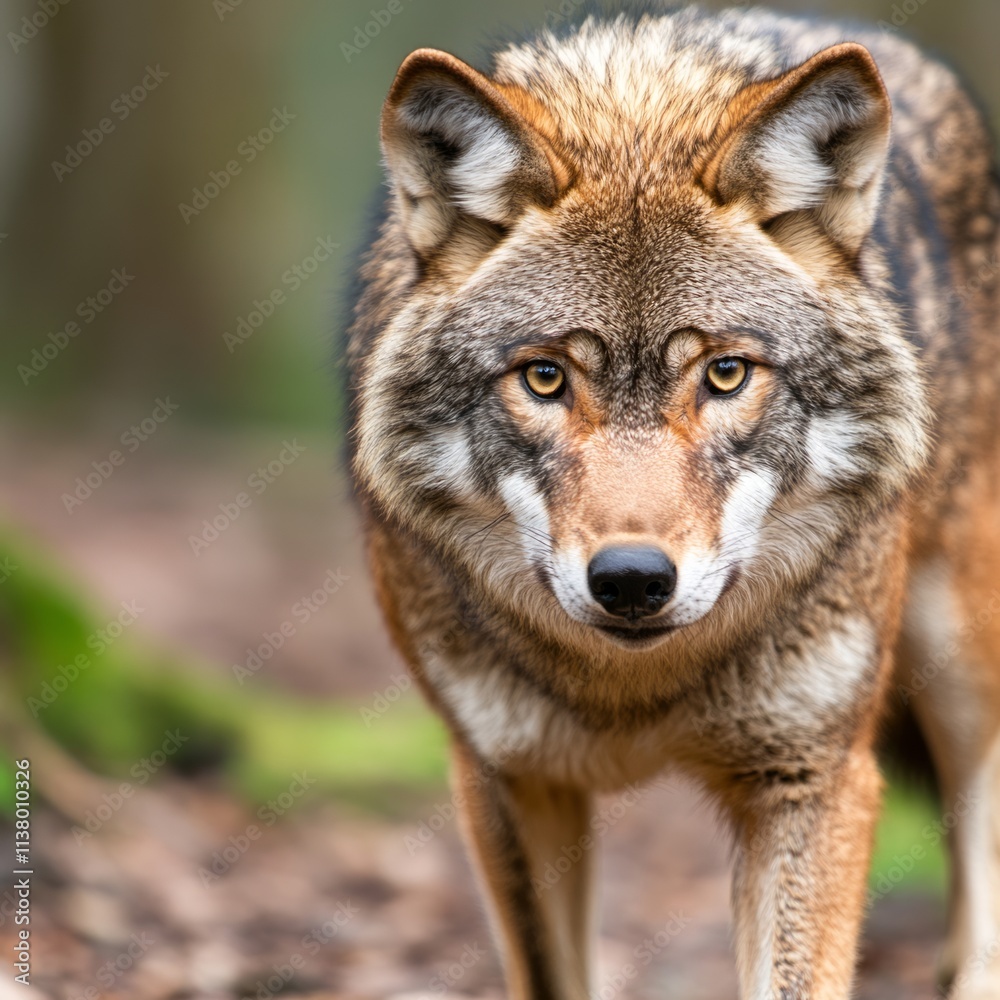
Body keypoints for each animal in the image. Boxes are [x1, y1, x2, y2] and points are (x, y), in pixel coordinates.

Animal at [346, 5, 1000, 998]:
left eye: (725, 374)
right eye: (544, 378)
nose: (630, 580)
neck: (636, 695)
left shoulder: (813, 776)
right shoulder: (505, 780)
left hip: (960, 658)